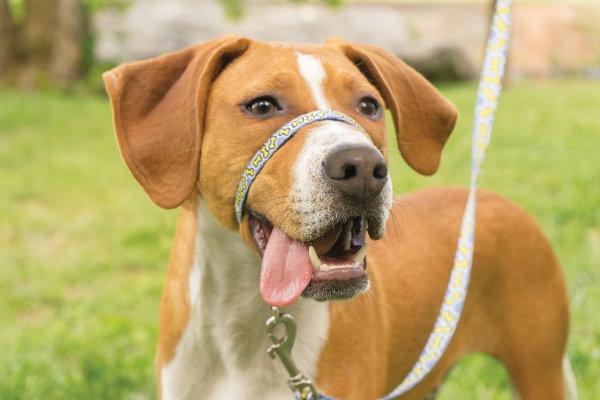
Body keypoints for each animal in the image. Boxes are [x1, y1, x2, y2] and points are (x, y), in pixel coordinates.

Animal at [104, 36, 576, 398]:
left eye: (369, 105)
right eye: (262, 106)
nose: (362, 168)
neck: (245, 318)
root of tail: (490, 198)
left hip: (540, 369)